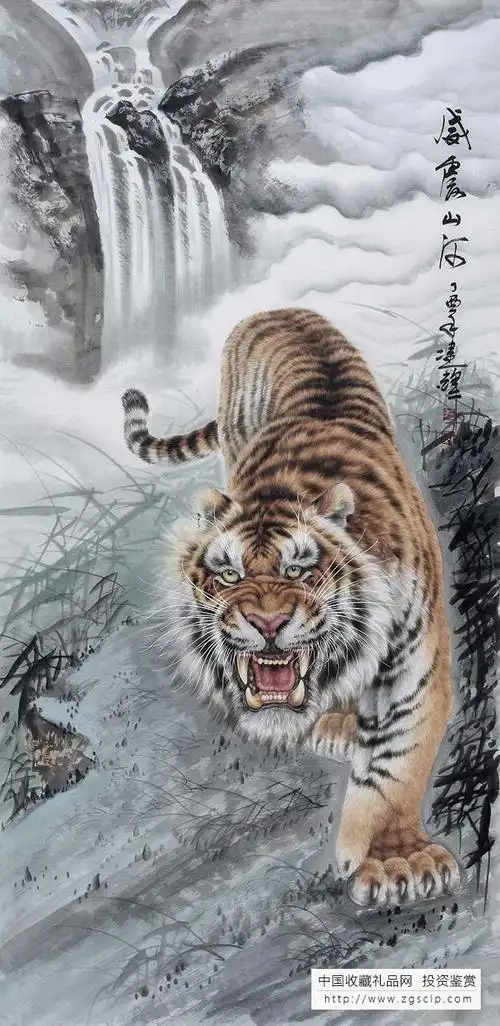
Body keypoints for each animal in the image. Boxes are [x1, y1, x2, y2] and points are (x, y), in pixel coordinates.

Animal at [121, 307, 461, 908]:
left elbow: (398, 763)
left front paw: (396, 860)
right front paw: (397, 863)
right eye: (229, 573)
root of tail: (277, 310)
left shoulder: (412, 667)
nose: (268, 623)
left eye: (300, 569)